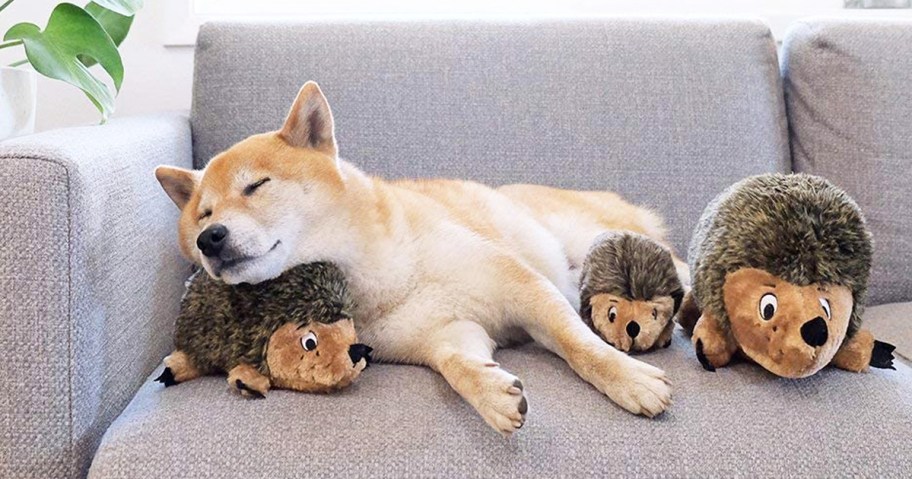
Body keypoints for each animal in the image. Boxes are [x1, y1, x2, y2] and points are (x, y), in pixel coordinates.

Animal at [159, 82, 684, 436]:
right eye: (204, 212)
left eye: (255, 186)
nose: (209, 239)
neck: (383, 277)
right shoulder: (446, 332)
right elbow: (458, 367)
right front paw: (492, 392)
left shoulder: (520, 284)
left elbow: (578, 345)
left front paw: (627, 379)